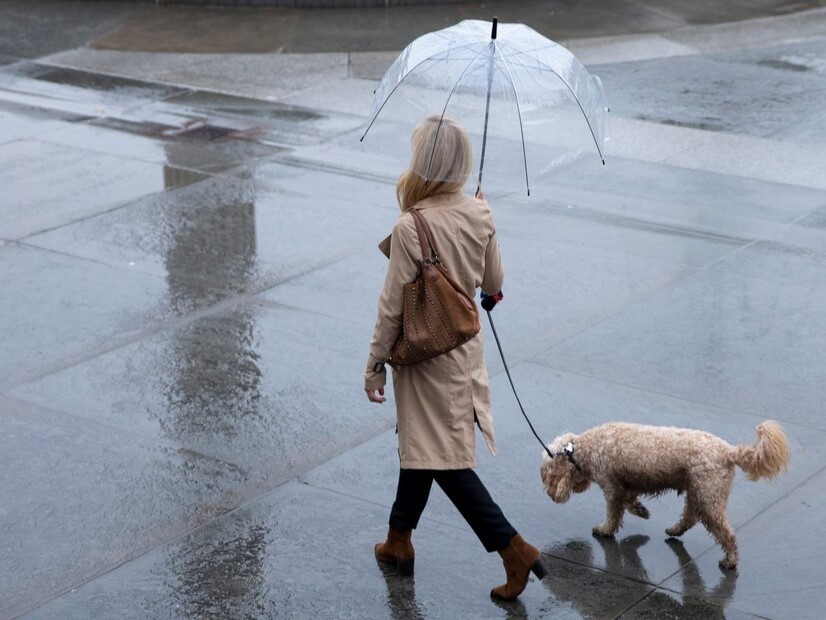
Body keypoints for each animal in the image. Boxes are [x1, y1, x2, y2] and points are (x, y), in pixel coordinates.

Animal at [536, 418, 788, 568]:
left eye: (547, 475)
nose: (547, 493)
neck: (585, 448)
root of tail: (728, 451)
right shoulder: (626, 484)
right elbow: (629, 502)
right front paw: (641, 510)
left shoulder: (611, 486)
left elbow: (614, 512)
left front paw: (605, 530)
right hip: (698, 490)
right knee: (690, 516)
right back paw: (675, 530)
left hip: (708, 495)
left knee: (725, 532)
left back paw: (730, 559)